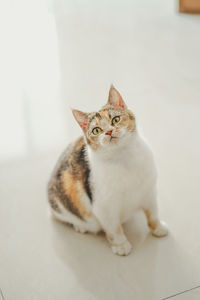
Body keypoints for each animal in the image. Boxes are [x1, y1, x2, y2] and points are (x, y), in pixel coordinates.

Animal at [47, 85, 168, 255]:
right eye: (96, 130)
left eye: (115, 119)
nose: (109, 132)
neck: (124, 159)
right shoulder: (104, 207)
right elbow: (113, 229)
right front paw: (121, 245)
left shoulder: (149, 192)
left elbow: (153, 214)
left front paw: (158, 228)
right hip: (60, 206)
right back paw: (79, 226)